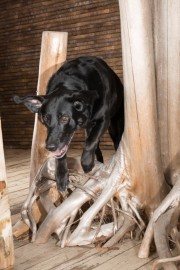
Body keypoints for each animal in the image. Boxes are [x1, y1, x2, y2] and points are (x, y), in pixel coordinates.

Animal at [13, 56, 124, 191]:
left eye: (65, 118)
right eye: (46, 119)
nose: (50, 147)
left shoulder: (103, 120)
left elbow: (90, 142)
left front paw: (86, 163)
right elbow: (62, 154)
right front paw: (61, 176)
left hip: (115, 126)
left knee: (112, 141)